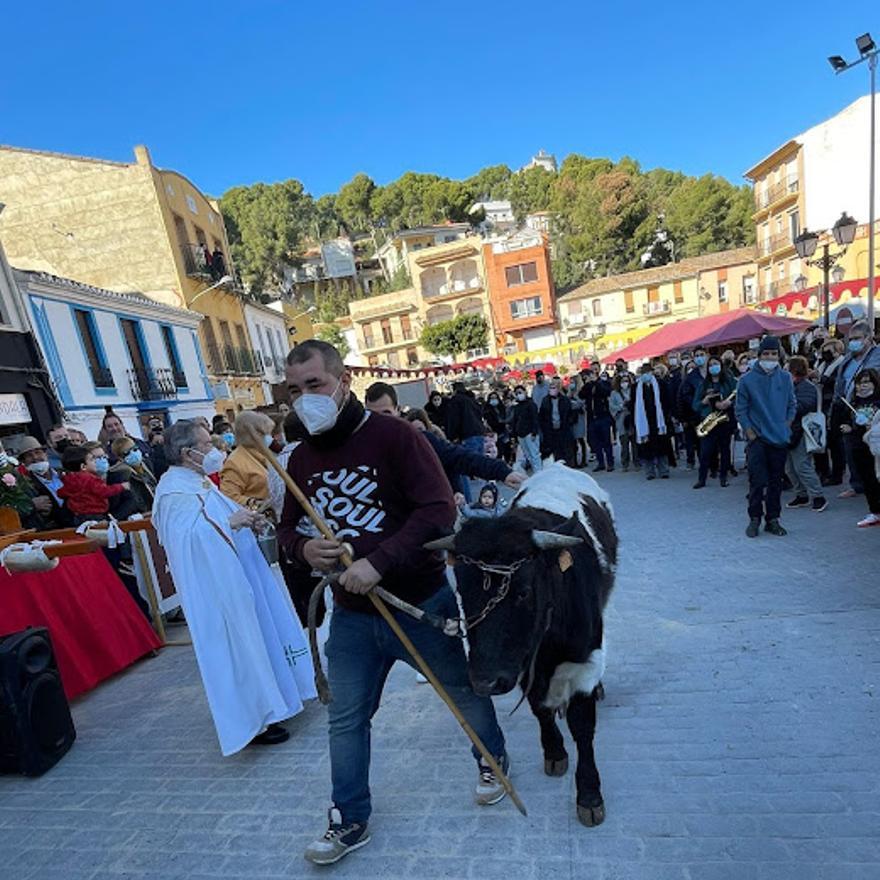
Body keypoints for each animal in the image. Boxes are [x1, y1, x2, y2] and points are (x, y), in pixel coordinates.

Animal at [428, 464, 620, 828]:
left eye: (524, 591)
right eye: (462, 591)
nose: (484, 682)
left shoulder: (584, 660)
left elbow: (583, 726)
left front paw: (589, 794)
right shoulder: (521, 665)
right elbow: (538, 707)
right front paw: (555, 752)